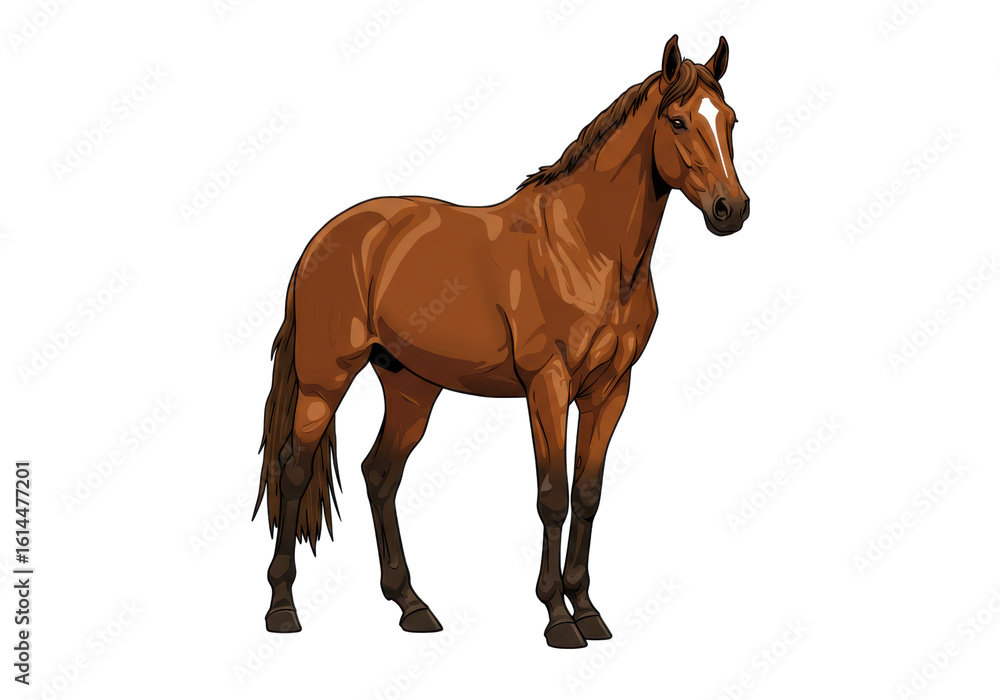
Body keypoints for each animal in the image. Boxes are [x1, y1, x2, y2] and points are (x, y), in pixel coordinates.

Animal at [254, 34, 749, 648]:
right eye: (679, 121)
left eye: (730, 120)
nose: (732, 210)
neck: (587, 248)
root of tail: (327, 238)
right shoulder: (547, 385)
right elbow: (553, 495)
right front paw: (558, 619)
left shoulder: (611, 389)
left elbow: (588, 494)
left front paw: (589, 611)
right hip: (326, 378)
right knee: (295, 468)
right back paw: (282, 608)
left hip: (410, 387)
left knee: (380, 474)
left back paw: (411, 605)